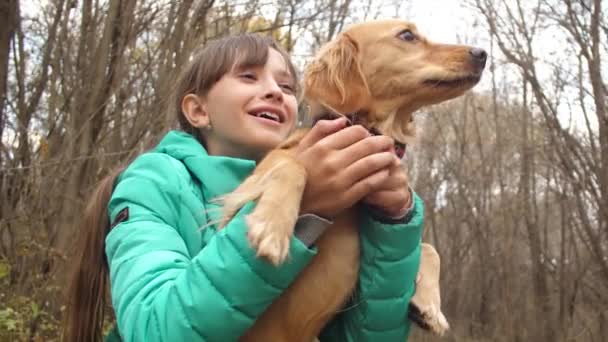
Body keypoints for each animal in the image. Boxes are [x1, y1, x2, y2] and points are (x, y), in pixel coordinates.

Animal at [217, 20, 484, 340]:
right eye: (407, 35)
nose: (482, 53)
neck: (366, 128)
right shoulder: (238, 196)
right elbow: (293, 166)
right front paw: (272, 226)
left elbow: (430, 248)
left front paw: (430, 306)